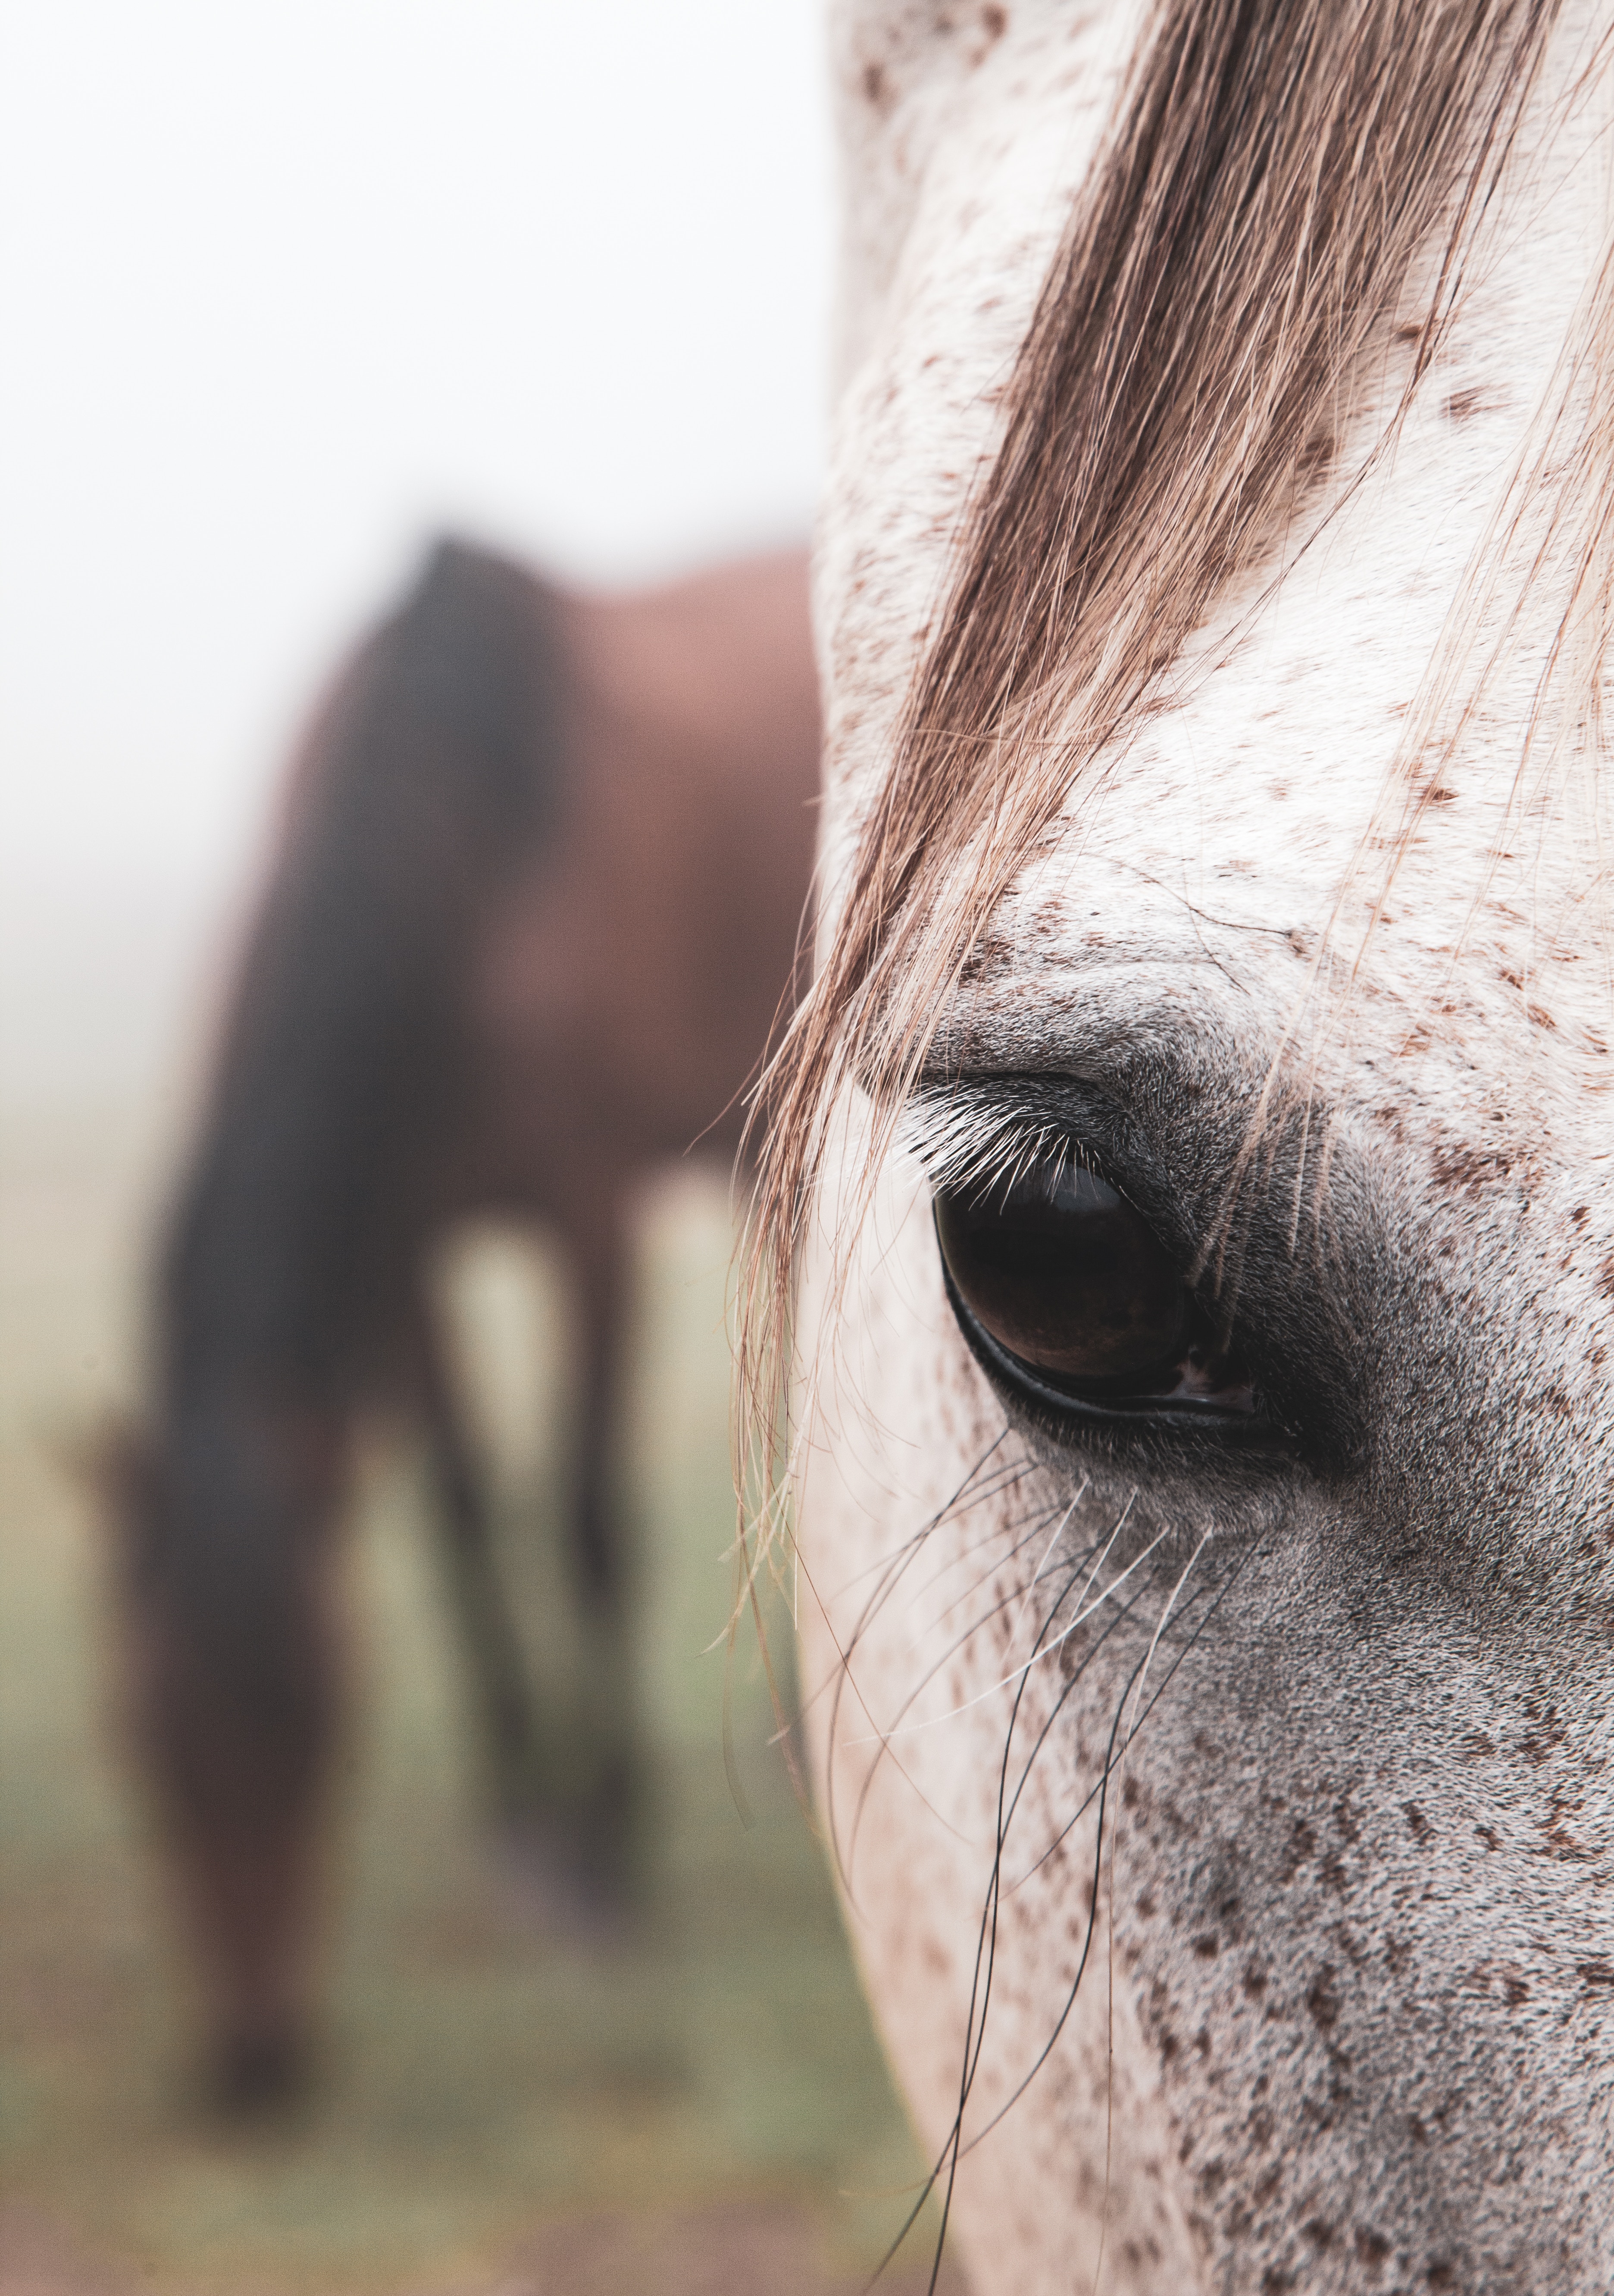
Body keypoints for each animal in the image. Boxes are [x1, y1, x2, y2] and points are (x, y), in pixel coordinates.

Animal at [107, 532, 822, 2103]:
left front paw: (606, 1856)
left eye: (325, 1727)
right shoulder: (408, 1243)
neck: (473, 843)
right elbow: (459, 1512)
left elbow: (587, 1513)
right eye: (148, 1745)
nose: (256, 2068)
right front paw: (521, 1829)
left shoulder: (589, 1213)